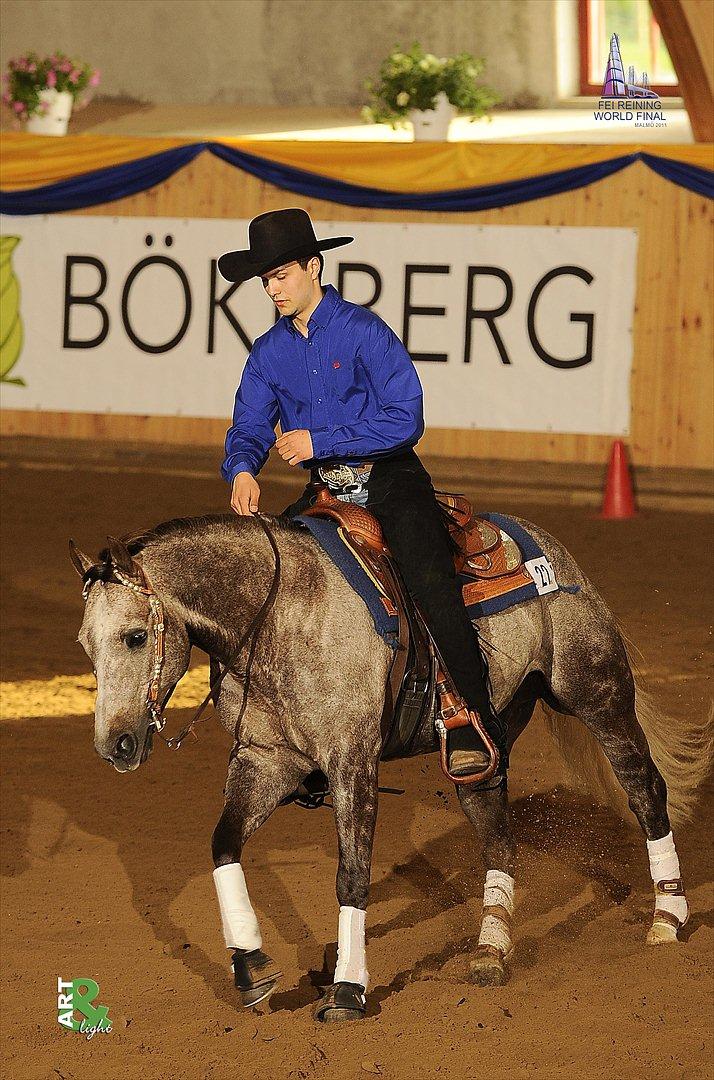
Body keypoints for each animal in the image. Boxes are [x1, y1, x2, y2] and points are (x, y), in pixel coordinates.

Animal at [69, 511, 708, 1019]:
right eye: (85, 645)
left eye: (133, 636)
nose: (114, 746)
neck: (278, 617)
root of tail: (550, 546)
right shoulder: (266, 763)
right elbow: (223, 845)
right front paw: (252, 966)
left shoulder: (353, 763)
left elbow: (352, 875)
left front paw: (348, 989)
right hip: (481, 749)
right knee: (499, 839)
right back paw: (490, 950)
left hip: (596, 693)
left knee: (646, 789)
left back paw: (668, 915)